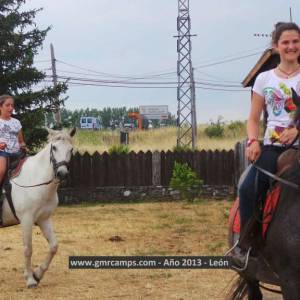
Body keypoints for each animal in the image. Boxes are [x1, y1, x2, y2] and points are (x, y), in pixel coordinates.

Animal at [1, 127, 75, 288]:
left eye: (71, 149)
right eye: (54, 147)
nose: (62, 174)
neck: (35, 180)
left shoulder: (44, 219)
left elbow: (54, 246)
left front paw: (37, 274)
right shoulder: (26, 220)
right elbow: (28, 249)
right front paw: (30, 279)